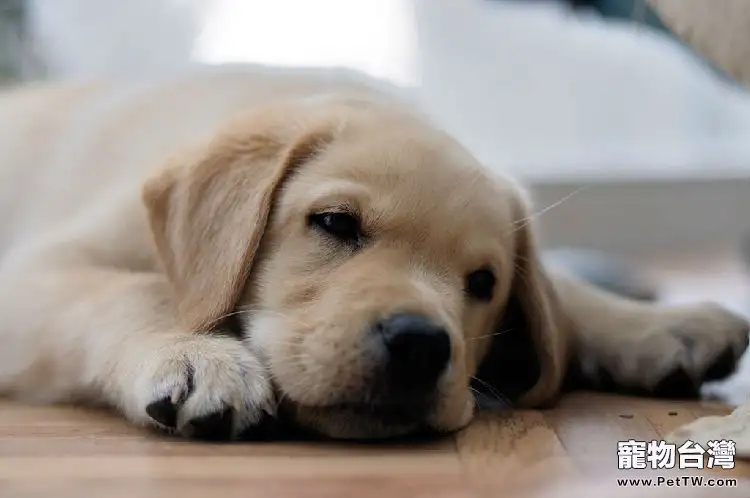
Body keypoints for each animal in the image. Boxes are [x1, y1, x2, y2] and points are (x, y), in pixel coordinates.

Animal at [0, 65, 748, 440]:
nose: (420, 344)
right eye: (334, 223)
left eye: (484, 282)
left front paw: (654, 325)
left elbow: (558, 292)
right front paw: (195, 354)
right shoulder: (33, 274)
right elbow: (135, 291)